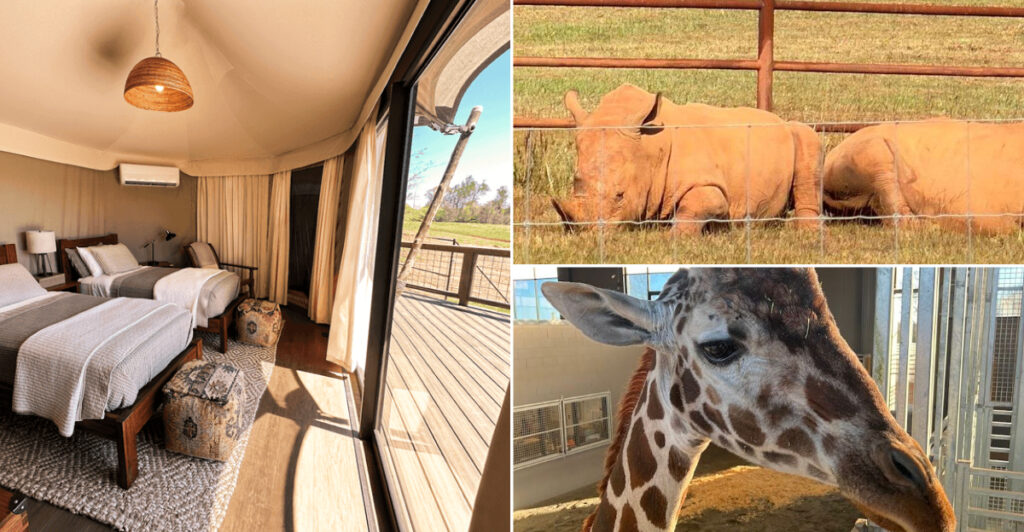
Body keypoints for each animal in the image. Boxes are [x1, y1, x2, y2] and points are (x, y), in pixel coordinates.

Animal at [551, 84, 822, 233]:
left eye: (620, 196)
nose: (586, 233)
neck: (652, 147)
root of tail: (778, 119)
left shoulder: (711, 186)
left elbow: (699, 205)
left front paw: (674, 235)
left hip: (796, 132)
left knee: (807, 139)